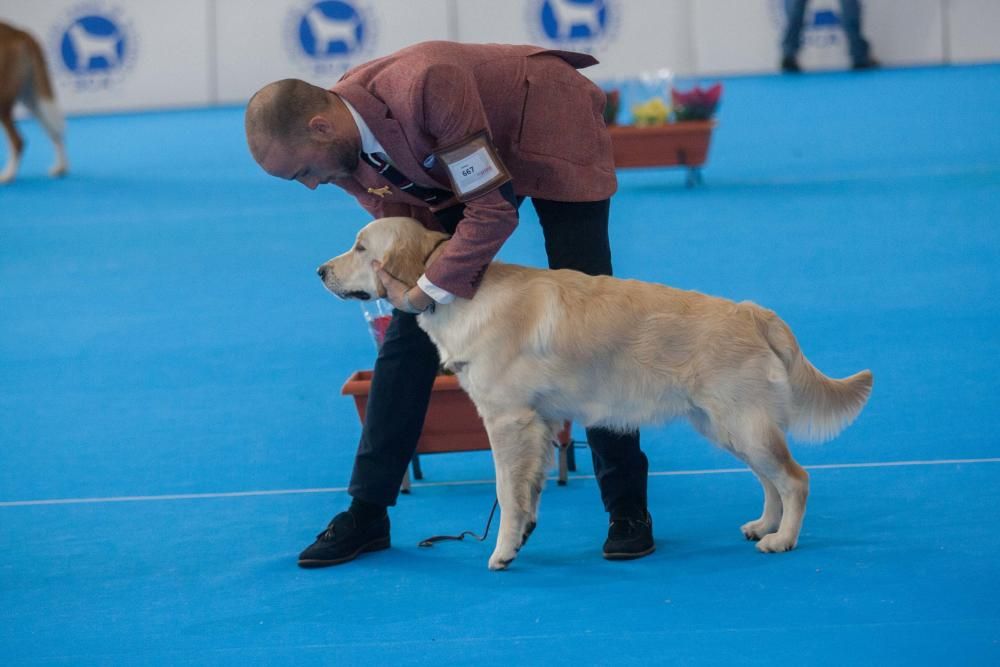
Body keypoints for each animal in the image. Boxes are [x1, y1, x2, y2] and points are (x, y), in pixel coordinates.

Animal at [0, 21, 68, 183]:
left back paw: (7, 175)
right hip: (32, 97)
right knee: (55, 130)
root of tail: (18, 31)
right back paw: (61, 168)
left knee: (18, 141)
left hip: (5, 98)